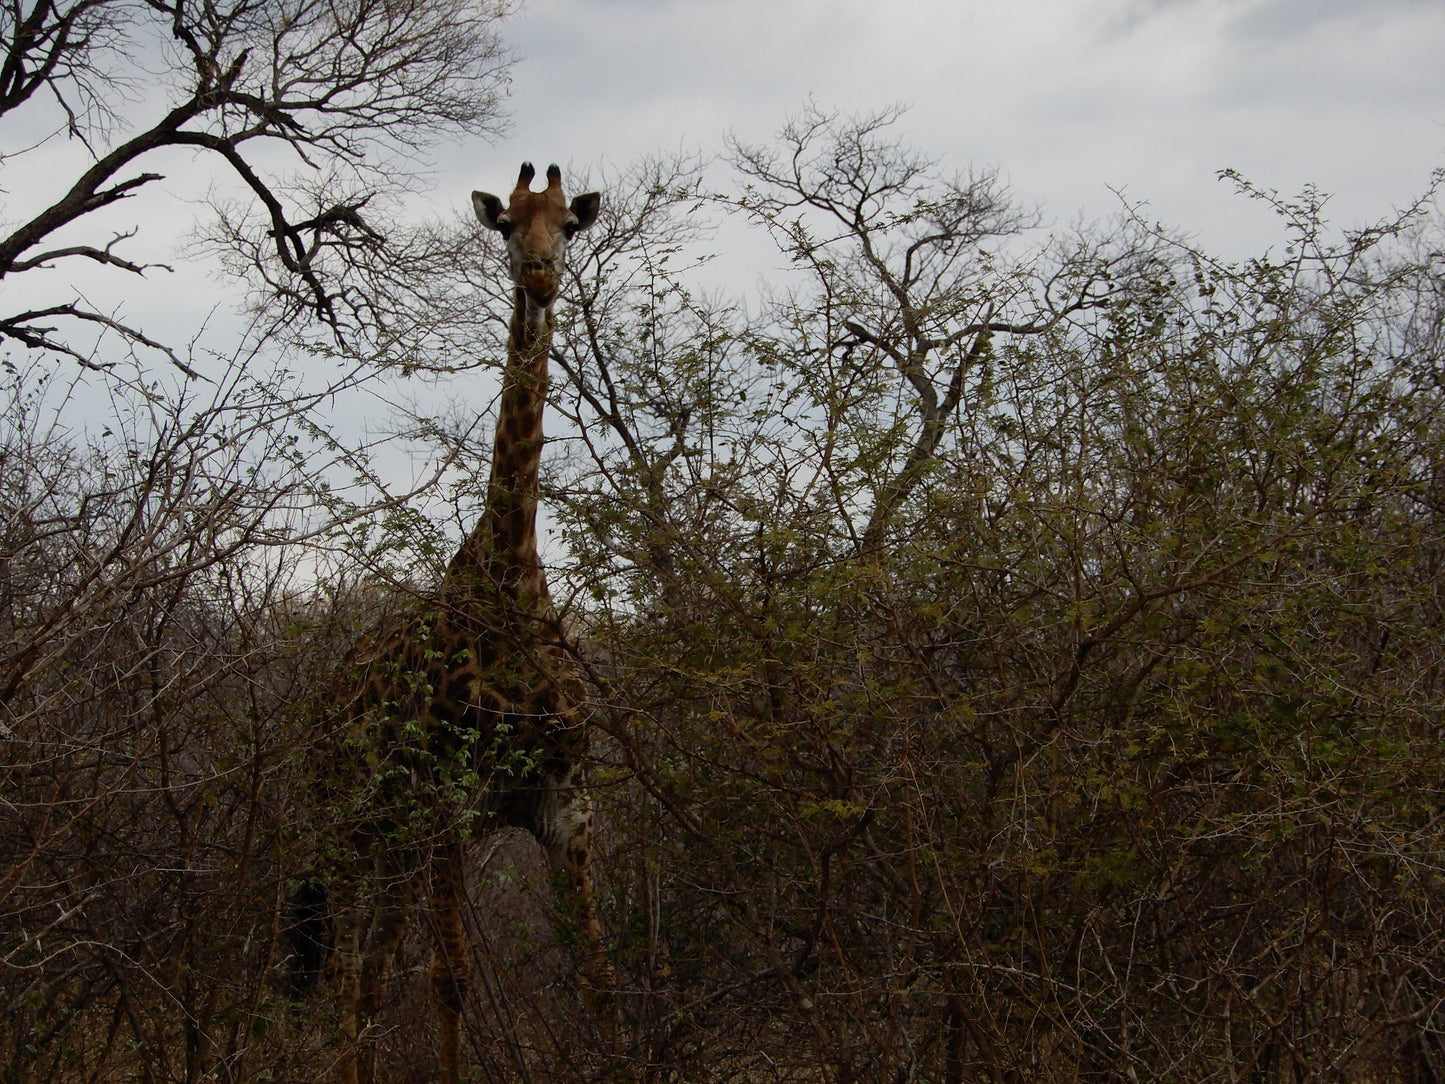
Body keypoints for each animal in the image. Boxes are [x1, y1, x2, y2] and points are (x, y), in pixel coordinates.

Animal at [310, 161, 609, 1084]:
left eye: (569, 225)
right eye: (506, 224)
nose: (540, 277)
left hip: (396, 846)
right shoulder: (446, 806)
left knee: (369, 975)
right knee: (344, 973)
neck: (511, 578)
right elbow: (452, 977)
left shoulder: (563, 803)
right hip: (349, 824)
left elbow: (594, 974)